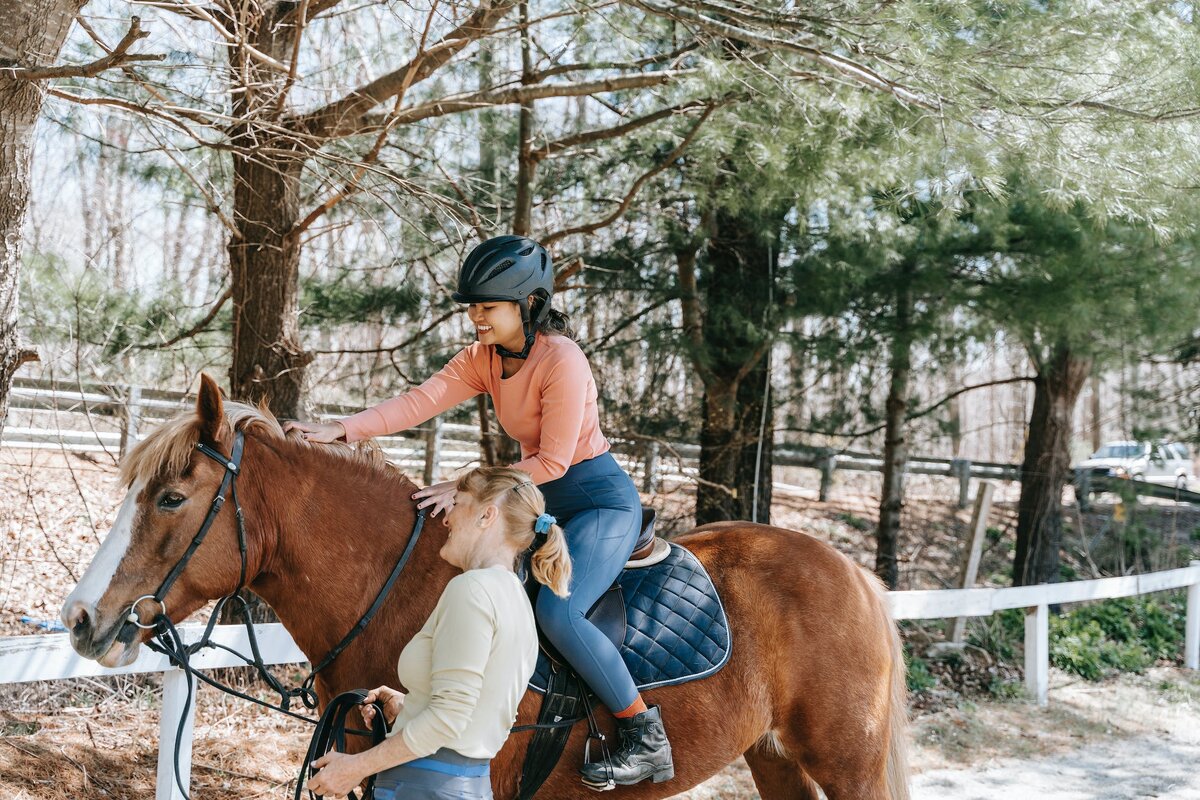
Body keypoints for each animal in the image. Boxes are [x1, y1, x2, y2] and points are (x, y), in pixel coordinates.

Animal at [58, 376, 907, 800]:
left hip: (849, 766)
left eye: (172, 498)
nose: (80, 618)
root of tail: (854, 574)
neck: (405, 589)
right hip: (775, 757)